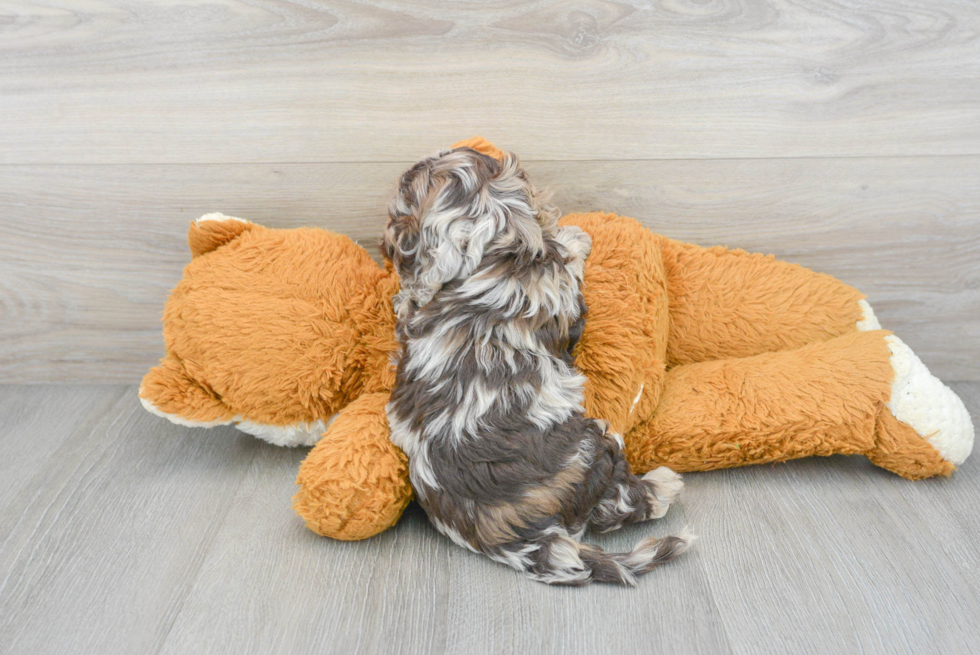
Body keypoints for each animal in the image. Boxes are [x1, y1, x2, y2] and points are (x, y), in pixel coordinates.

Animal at [378, 146, 692, 588]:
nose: (412, 166)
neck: (486, 258)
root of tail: (502, 536)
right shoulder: (560, 290)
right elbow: (568, 261)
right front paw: (574, 237)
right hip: (587, 449)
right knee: (612, 504)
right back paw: (662, 487)